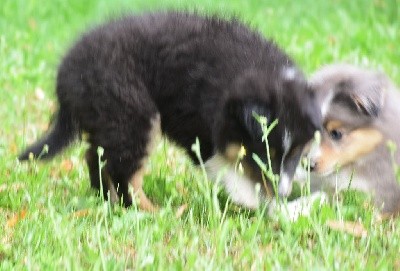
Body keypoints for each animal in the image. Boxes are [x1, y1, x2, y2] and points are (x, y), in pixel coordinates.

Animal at [18, 11, 320, 211]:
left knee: (96, 157)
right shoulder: (202, 134)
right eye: (266, 154)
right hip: (132, 114)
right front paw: (263, 204)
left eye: (297, 154)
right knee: (122, 171)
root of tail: (65, 75)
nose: (283, 194)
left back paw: (106, 199)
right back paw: (149, 210)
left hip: (108, 119)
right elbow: (232, 172)